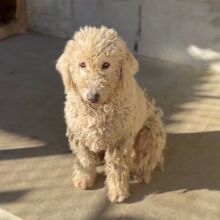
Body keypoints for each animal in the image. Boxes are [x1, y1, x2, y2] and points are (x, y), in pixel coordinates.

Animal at [55, 25, 166, 203]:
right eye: (82, 64)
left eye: (106, 64)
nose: (93, 96)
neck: (97, 112)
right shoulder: (79, 135)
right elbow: (84, 159)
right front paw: (84, 179)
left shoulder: (119, 141)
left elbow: (116, 167)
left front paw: (118, 191)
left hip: (151, 133)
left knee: (145, 159)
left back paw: (139, 173)